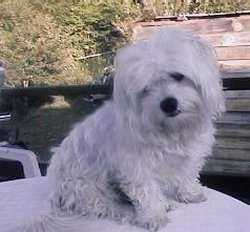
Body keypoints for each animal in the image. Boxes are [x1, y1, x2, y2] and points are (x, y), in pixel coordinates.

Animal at [45, 27, 225, 232]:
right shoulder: (137, 167)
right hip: (87, 188)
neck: (173, 131)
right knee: (109, 207)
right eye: (146, 89)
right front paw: (154, 216)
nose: (168, 104)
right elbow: (147, 192)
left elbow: (185, 177)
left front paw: (190, 194)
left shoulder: (188, 160)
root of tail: (53, 190)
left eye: (178, 76)